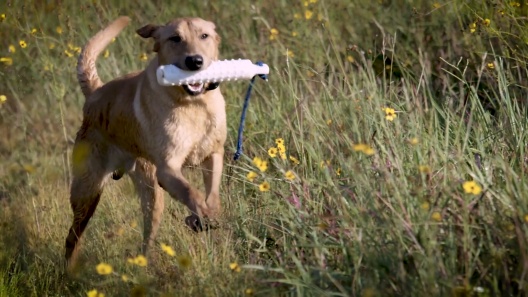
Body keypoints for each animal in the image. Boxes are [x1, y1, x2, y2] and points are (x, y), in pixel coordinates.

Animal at [64, 16, 225, 270]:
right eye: (175, 38)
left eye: (204, 36)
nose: (195, 61)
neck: (193, 105)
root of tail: (95, 93)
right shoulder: (168, 169)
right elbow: (192, 193)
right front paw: (201, 216)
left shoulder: (214, 155)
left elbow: (211, 194)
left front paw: (204, 217)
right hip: (86, 193)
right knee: (72, 238)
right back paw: (69, 272)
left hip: (151, 197)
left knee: (146, 239)